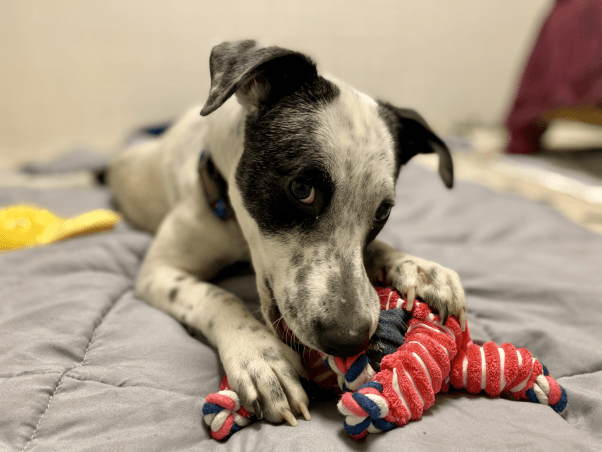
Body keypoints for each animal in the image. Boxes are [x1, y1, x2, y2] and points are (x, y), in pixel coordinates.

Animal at [106, 38, 464, 428]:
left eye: (383, 211)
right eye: (302, 189)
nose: (349, 341)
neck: (238, 234)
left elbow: (376, 250)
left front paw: (418, 268)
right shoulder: (159, 270)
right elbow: (219, 297)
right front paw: (261, 357)